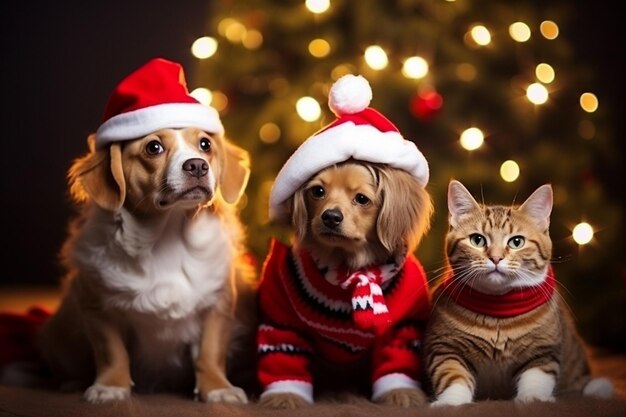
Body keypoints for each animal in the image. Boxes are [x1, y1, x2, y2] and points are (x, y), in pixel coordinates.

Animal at [422, 180, 612, 404]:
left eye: (516, 242)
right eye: (477, 240)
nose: (496, 258)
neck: (498, 314)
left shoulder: (543, 351)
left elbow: (537, 377)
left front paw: (534, 399)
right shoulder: (444, 347)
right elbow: (451, 375)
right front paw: (452, 402)